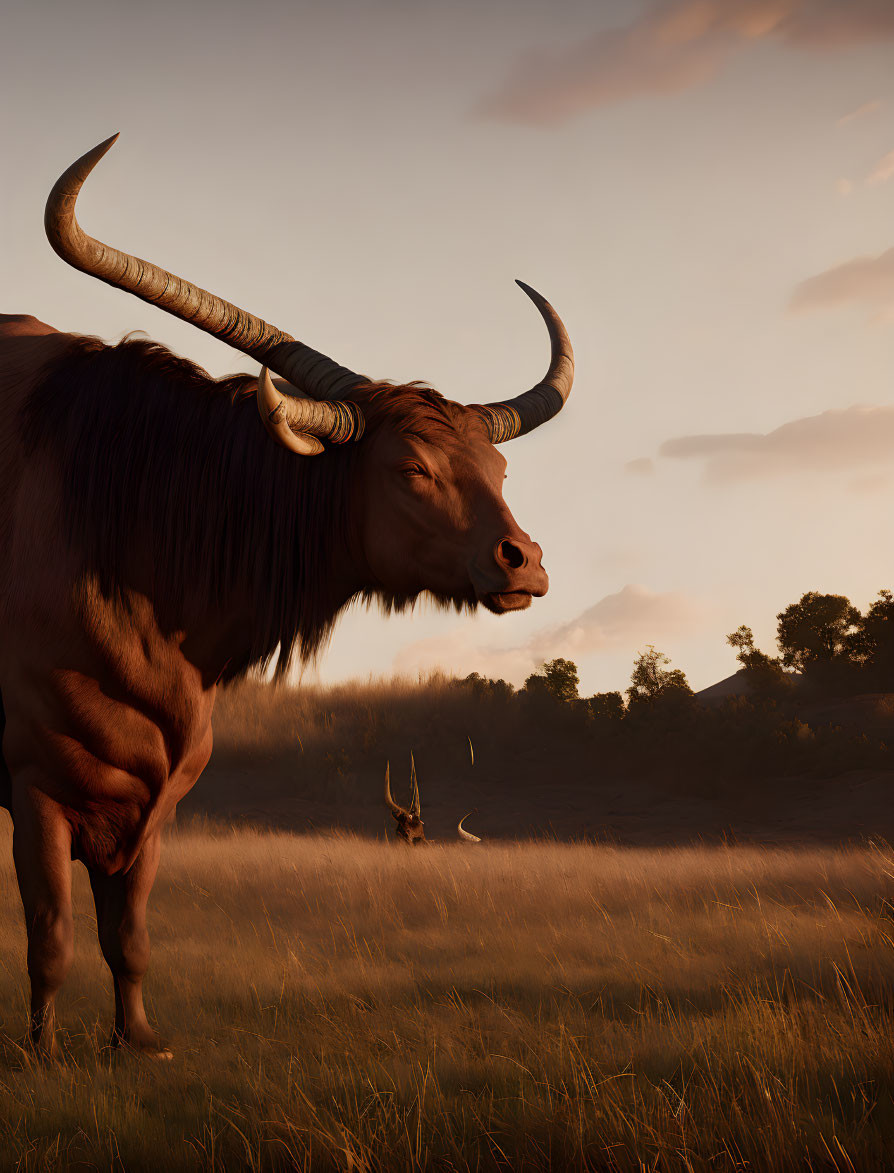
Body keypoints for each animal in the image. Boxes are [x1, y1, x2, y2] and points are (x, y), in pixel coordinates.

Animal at [0, 137, 570, 1065]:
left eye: (499, 467)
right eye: (410, 467)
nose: (523, 563)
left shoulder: (155, 797)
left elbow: (130, 932)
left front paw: (139, 1039)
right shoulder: (37, 787)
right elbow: (50, 931)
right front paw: (44, 1055)